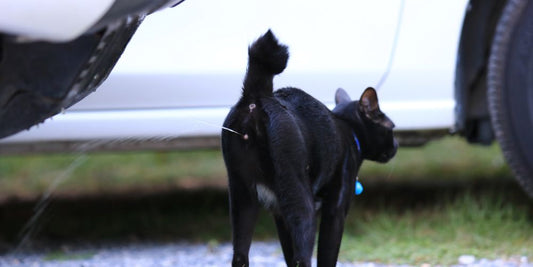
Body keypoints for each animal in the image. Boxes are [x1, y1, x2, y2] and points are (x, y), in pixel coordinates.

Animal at [218, 30, 396, 266]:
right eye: (392, 128)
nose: (396, 145)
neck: (349, 129)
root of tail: (257, 95)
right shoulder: (335, 211)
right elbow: (326, 255)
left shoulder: (279, 214)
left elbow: (288, 253)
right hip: (300, 198)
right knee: (303, 255)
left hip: (242, 196)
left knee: (240, 254)